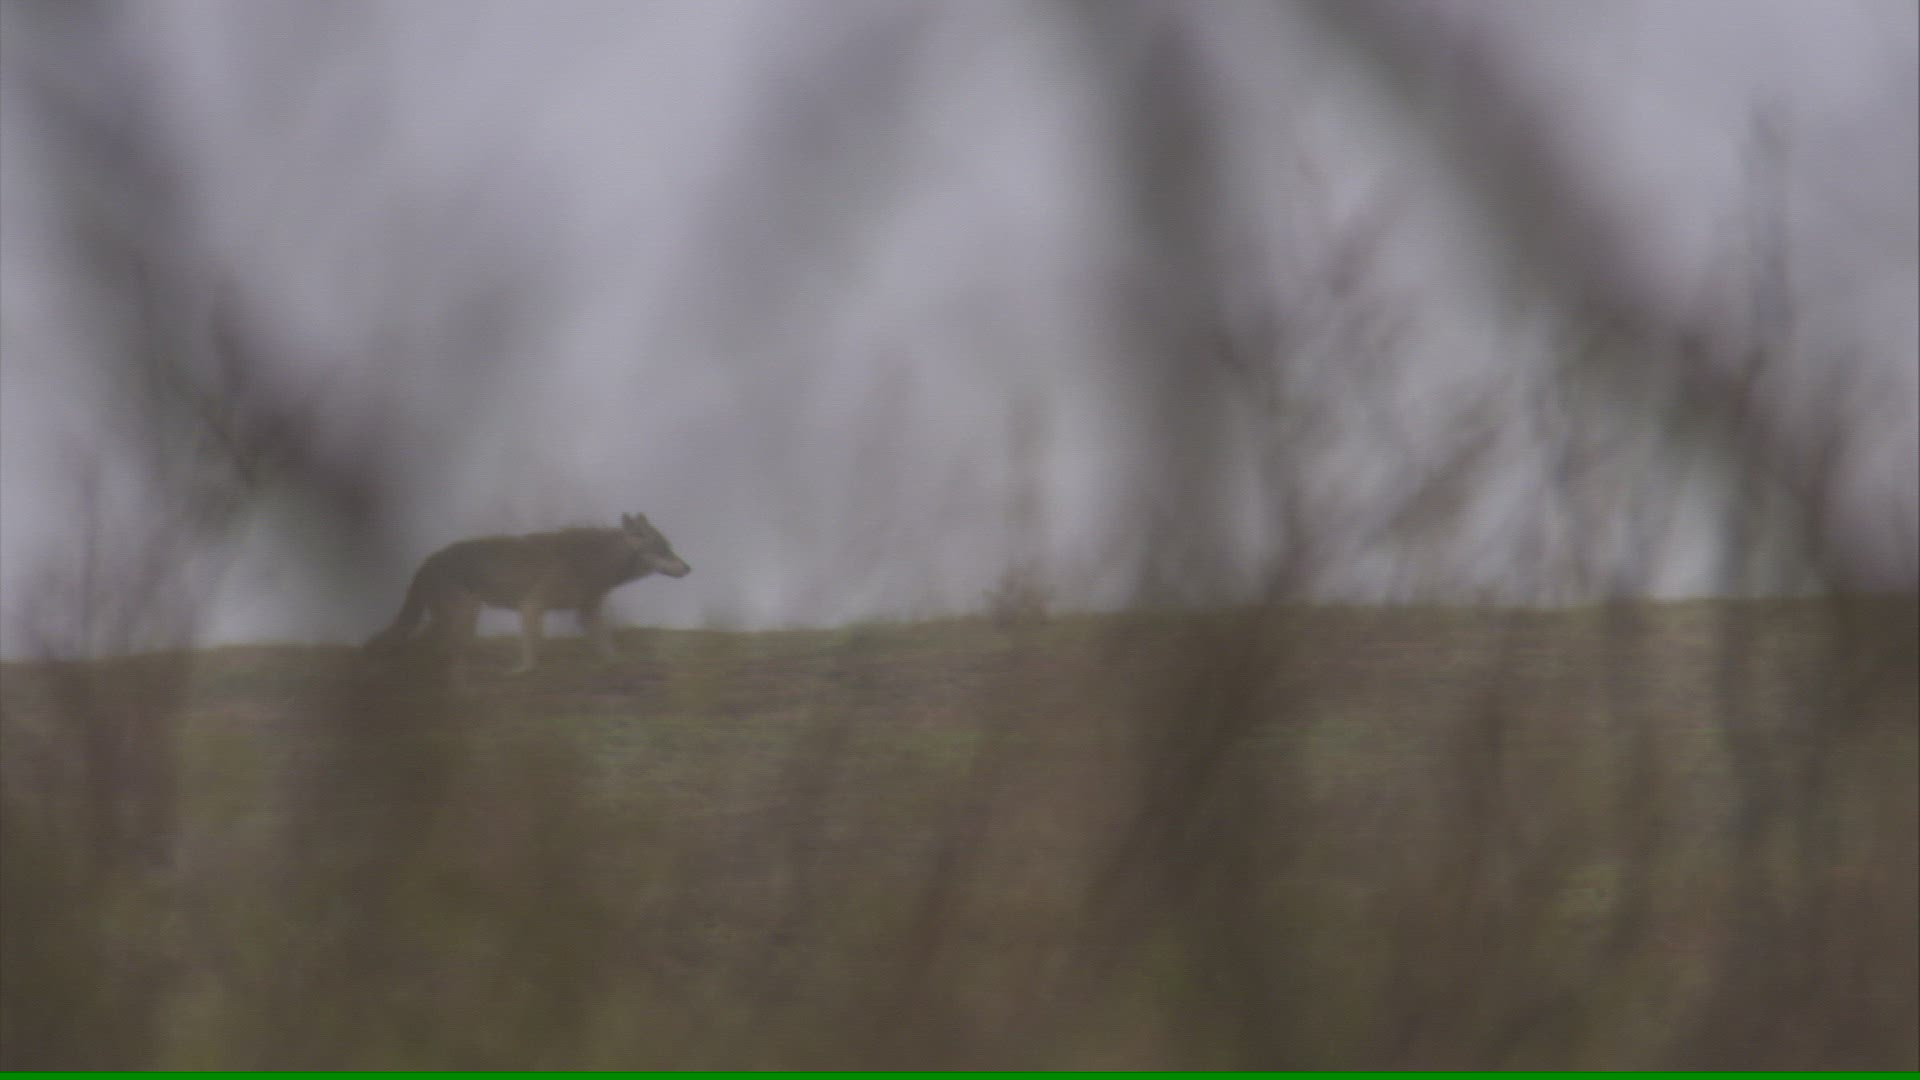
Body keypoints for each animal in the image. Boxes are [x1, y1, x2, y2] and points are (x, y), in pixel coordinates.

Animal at [366, 512, 691, 681]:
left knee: (425, 646)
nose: (689, 568)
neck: (591, 560)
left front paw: (618, 669)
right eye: (663, 550)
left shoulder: (587, 612)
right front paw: (522, 672)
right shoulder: (531, 606)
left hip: (459, 621)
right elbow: (532, 652)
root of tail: (428, 560)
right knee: (429, 647)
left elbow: (609, 650)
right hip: (461, 619)